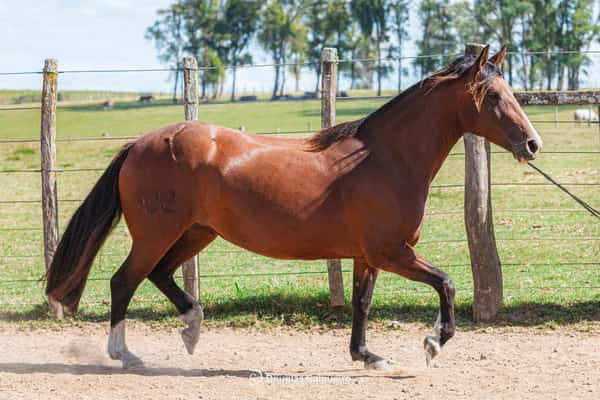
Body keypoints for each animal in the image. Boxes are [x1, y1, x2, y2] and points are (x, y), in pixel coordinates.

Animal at [47, 45, 544, 370]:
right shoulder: (391, 252)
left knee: (160, 275)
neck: (386, 158)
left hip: (196, 232)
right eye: (494, 97)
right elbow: (447, 283)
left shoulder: (367, 256)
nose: (533, 144)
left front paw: (367, 356)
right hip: (156, 234)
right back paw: (124, 353)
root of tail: (139, 144)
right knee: (124, 281)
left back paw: (191, 328)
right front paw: (434, 342)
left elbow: (362, 303)